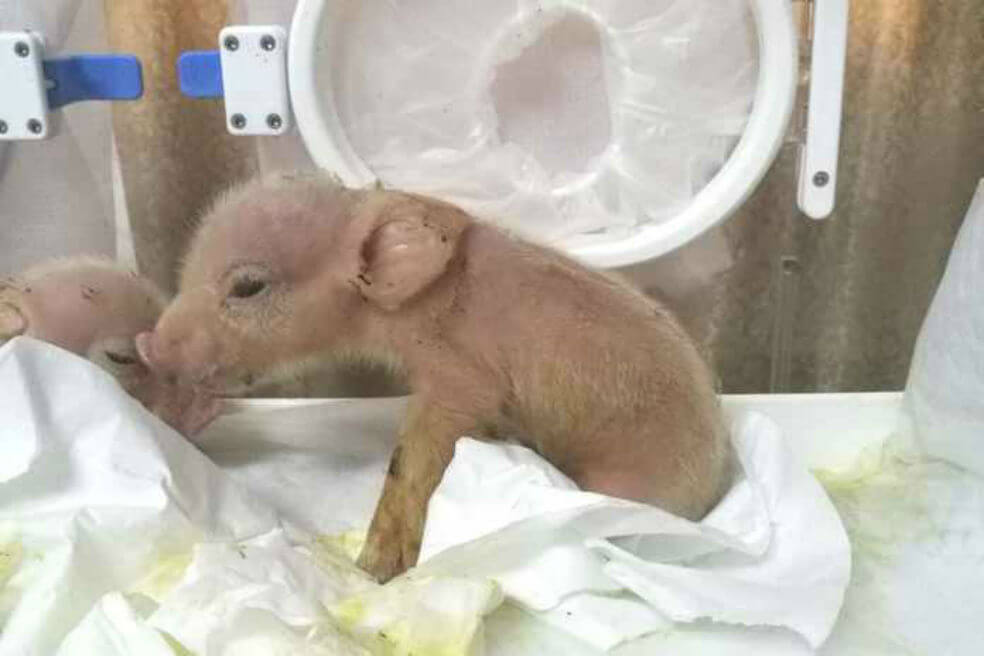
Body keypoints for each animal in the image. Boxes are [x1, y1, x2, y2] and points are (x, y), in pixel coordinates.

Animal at [136, 172, 734, 582]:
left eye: (248, 287)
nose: (147, 344)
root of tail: (716, 481)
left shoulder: (461, 379)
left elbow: (414, 458)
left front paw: (371, 571)